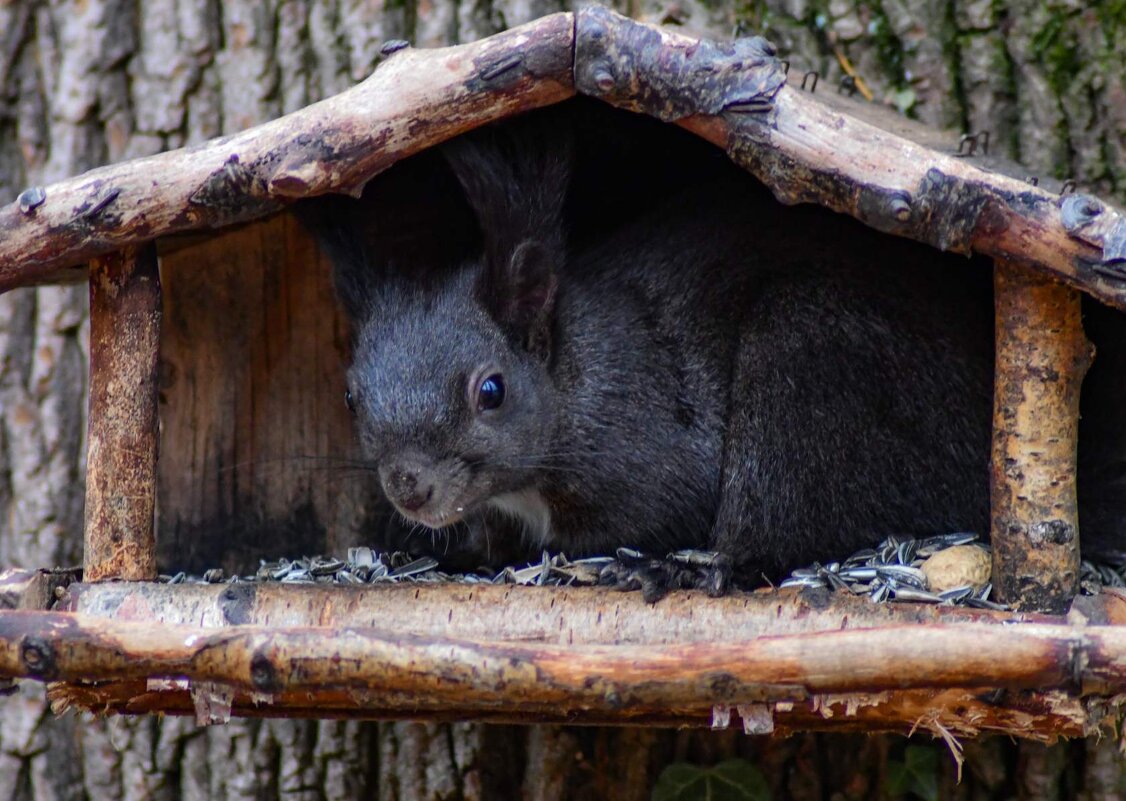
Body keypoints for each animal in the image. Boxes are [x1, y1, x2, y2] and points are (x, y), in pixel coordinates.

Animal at [299, 98, 1126, 594]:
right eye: (350, 393)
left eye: (491, 391)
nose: (410, 487)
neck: (576, 376)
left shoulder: (650, 449)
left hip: (808, 368)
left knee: (774, 533)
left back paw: (690, 570)